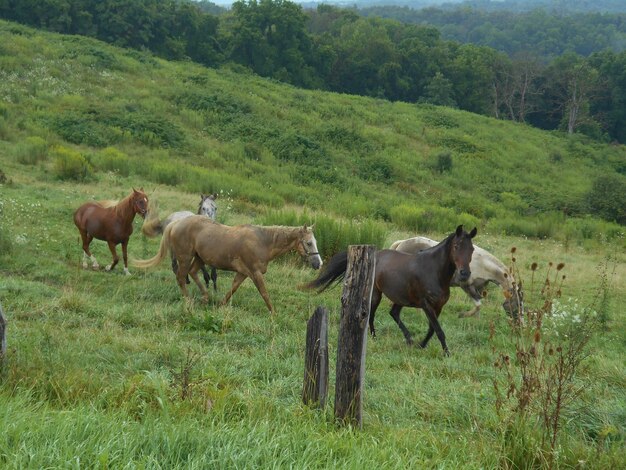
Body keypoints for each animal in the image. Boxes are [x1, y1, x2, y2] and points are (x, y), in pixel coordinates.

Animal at [132, 216, 322, 312]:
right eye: (309, 243)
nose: (318, 263)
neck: (263, 242)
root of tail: (174, 223)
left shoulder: (243, 273)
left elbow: (233, 289)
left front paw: (220, 305)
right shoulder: (254, 273)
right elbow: (264, 293)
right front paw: (273, 314)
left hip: (199, 258)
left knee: (192, 273)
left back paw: (205, 297)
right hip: (185, 257)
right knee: (181, 277)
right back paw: (189, 301)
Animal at [304, 226, 476, 354]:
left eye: (472, 249)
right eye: (456, 246)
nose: (464, 273)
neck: (434, 272)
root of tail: (375, 255)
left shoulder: (438, 306)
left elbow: (432, 329)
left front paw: (421, 345)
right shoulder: (426, 304)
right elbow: (438, 330)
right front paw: (446, 352)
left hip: (400, 297)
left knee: (393, 313)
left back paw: (409, 339)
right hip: (376, 294)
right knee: (372, 314)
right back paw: (375, 337)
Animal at [390, 237, 520, 318]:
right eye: (518, 304)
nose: (520, 325)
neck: (482, 263)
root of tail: (402, 242)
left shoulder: (479, 288)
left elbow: (479, 307)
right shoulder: (466, 286)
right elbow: (478, 305)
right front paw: (462, 315)